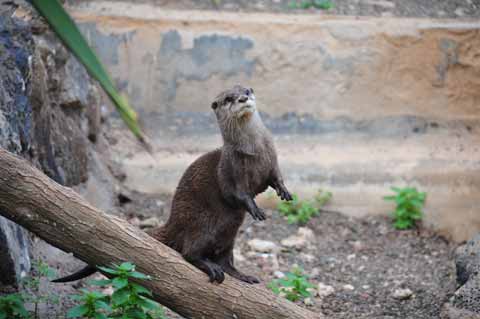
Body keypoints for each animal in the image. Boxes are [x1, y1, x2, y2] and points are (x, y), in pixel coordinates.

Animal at [52, 85, 292, 284]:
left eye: (247, 90)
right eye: (229, 98)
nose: (243, 98)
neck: (254, 150)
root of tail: (173, 222)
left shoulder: (272, 158)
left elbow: (275, 178)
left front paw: (284, 191)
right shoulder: (230, 167)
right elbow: (235, 193)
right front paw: (253, 207)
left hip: (228, 234)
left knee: (226, 259)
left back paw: (243, 275)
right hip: (201, 224)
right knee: (190, 252)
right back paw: (209, 266)